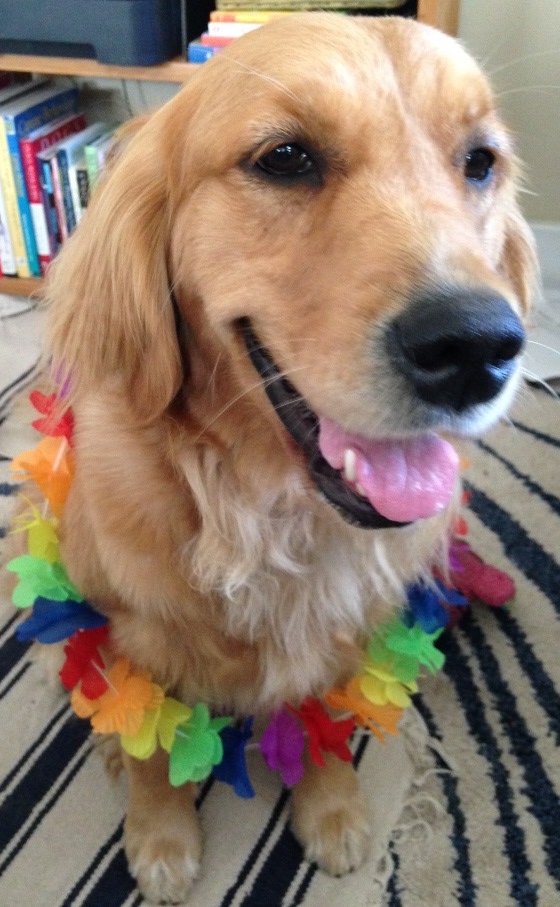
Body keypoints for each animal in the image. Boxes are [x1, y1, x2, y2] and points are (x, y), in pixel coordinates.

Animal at [41, 12, 535, 903]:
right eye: (286, 158)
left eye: (480, 161)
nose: (478, 346)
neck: (271, 511)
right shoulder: (135, 628)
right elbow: (149, 747)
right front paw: (160, 833)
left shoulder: (352, 625)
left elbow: (329, 716)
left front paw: (332, 806)